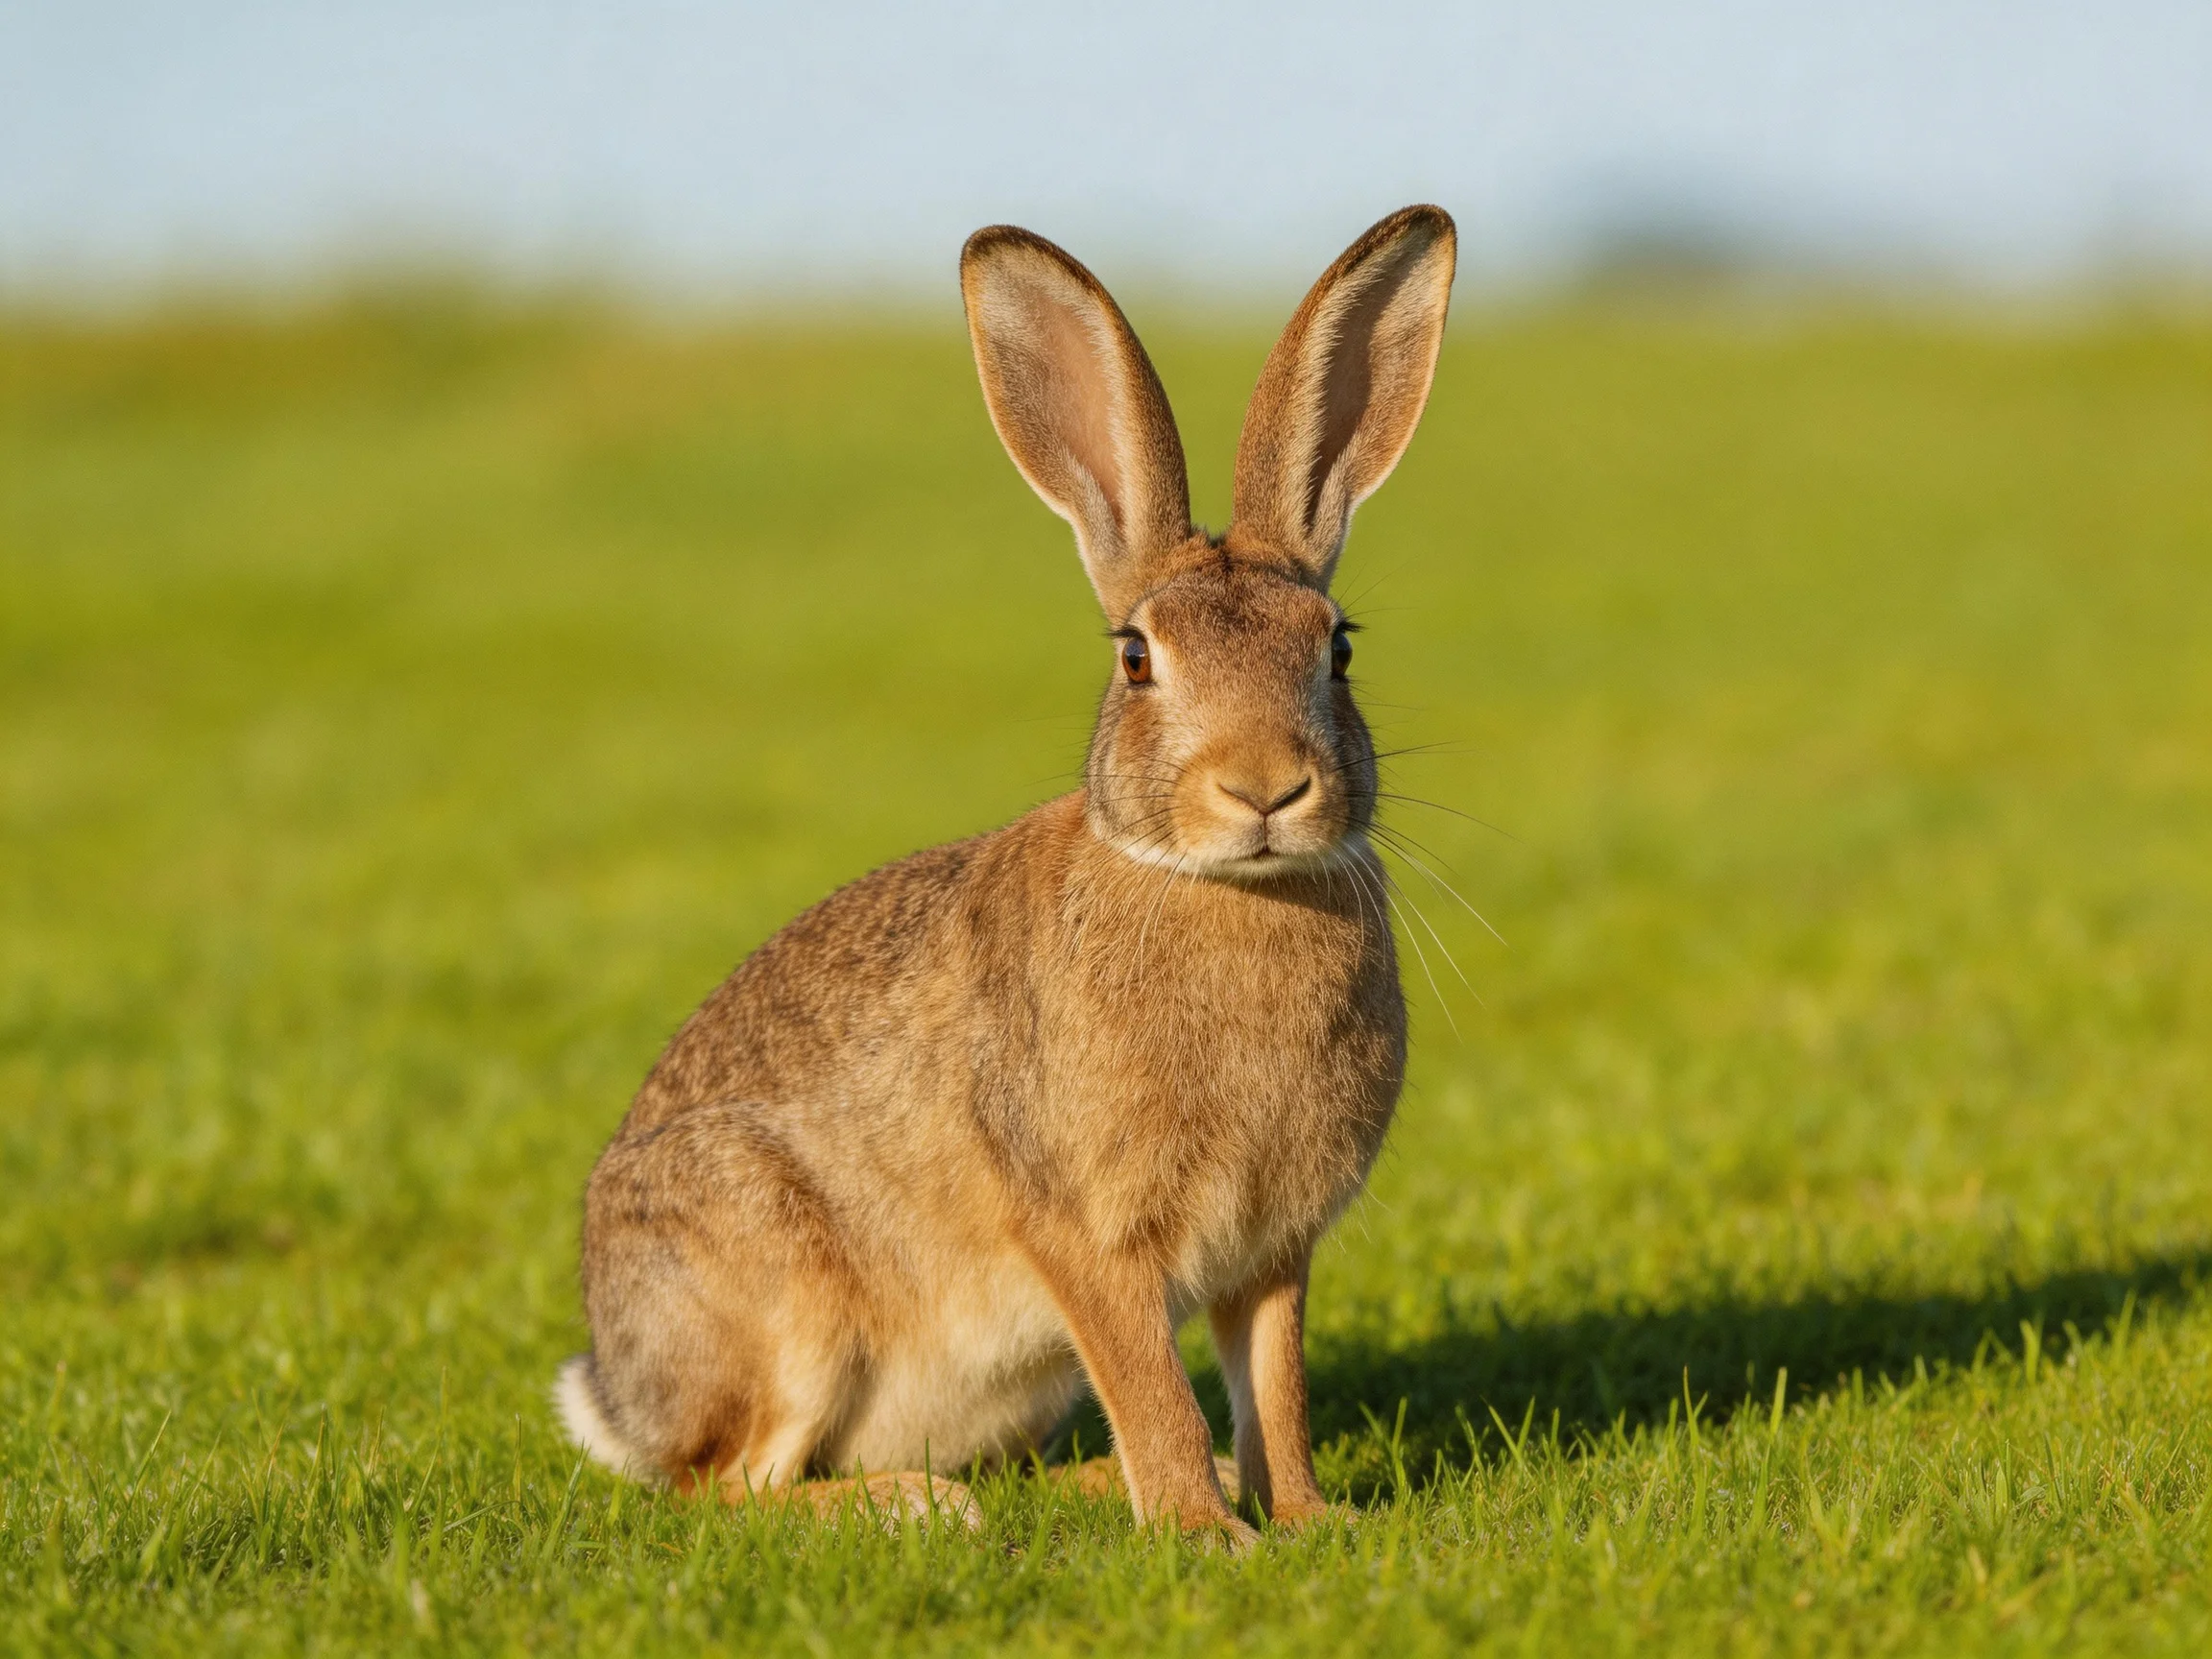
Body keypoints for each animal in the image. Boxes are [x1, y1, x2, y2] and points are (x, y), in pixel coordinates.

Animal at [558, 205, 1456, 1544]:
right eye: (1137, 657)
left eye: (1335, 649)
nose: (1263, 789)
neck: (1220, 888)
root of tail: (620, 1394)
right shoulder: (1088, 1236)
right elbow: (1156, 1390)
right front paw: (1205, 1534)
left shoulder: (1273, 1253)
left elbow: (1274, 1394)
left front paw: (1304, 1522)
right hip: (779, 1291)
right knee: (729, 1488)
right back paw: (917, 1509)